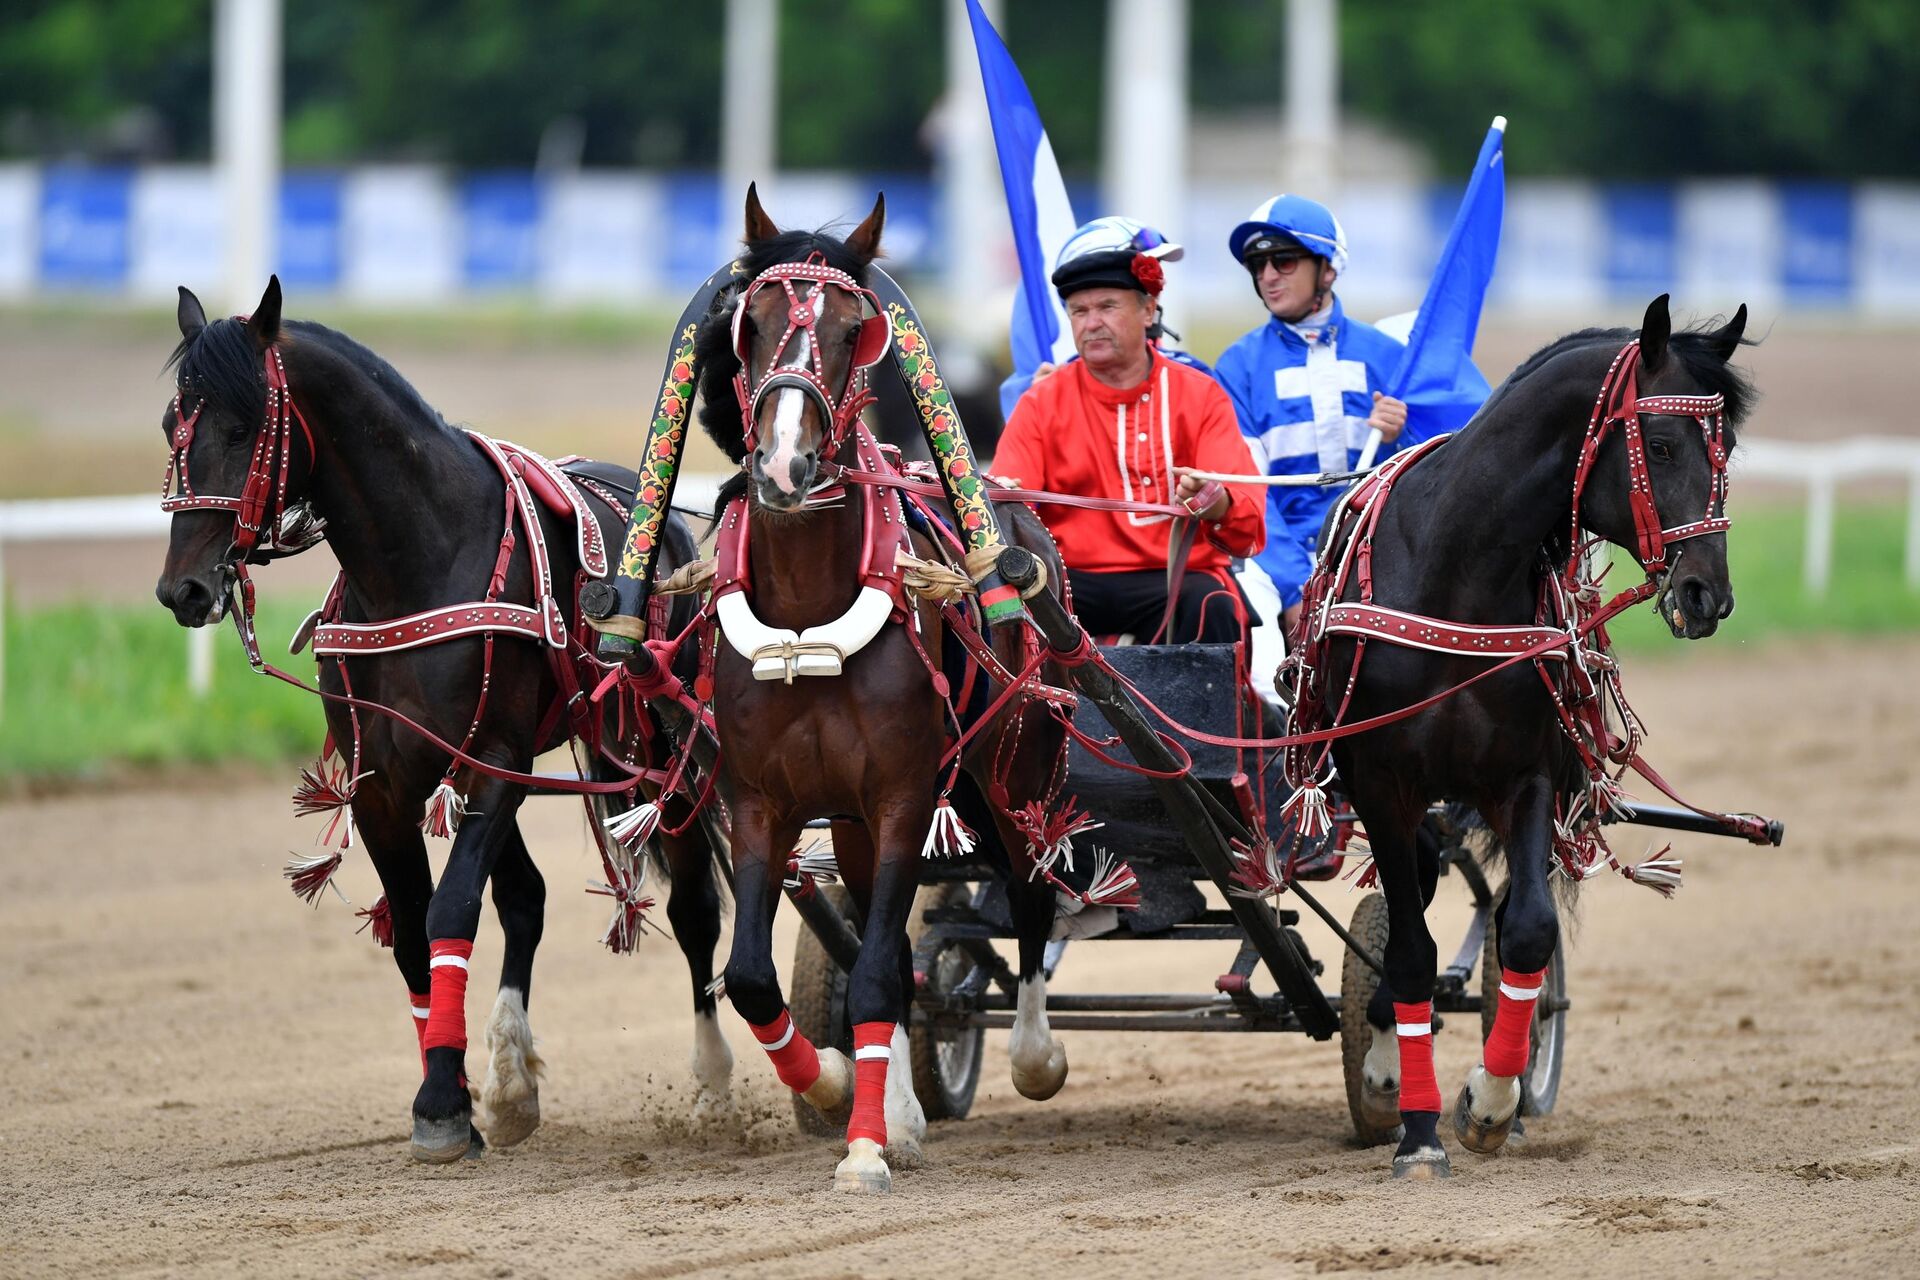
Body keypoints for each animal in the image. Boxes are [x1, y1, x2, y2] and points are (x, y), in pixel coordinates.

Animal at [149, 280, 729, 1159]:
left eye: (244, 427)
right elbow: (419, 934)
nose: (182, 588)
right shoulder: (385, 782)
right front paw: (449, 1089)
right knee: (525, 897)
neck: (419, 558)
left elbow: (452, 909)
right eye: (169, 426)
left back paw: (716, 1076)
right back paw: (512, 1076)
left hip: (667, 746)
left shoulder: (494, 759)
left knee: (694, 907)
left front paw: (443, 1101)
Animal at [691, 185, 1090, 1197]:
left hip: (1010, 773)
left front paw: (865, 1149)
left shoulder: (908, 794)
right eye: (749, 324)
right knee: (904, 949)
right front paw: (840, 1090)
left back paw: (1033, 1053)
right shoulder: (761, 801)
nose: (784, 466)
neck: (807, 611)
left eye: (852, 330)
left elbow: (874, 970)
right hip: (860, 824)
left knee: (1030, 893)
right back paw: (899, 1104)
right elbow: (754, 975)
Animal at [1305, 295, 1758, 1174]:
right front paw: (1419, 1129)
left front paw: (1489, 1099)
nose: (1707, 594)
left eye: (1726, 448)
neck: (1456, 574)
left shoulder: (1527, 778)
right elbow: (1410, 951)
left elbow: (1528, 931)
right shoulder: (1381, 784)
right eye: (1659, 444)